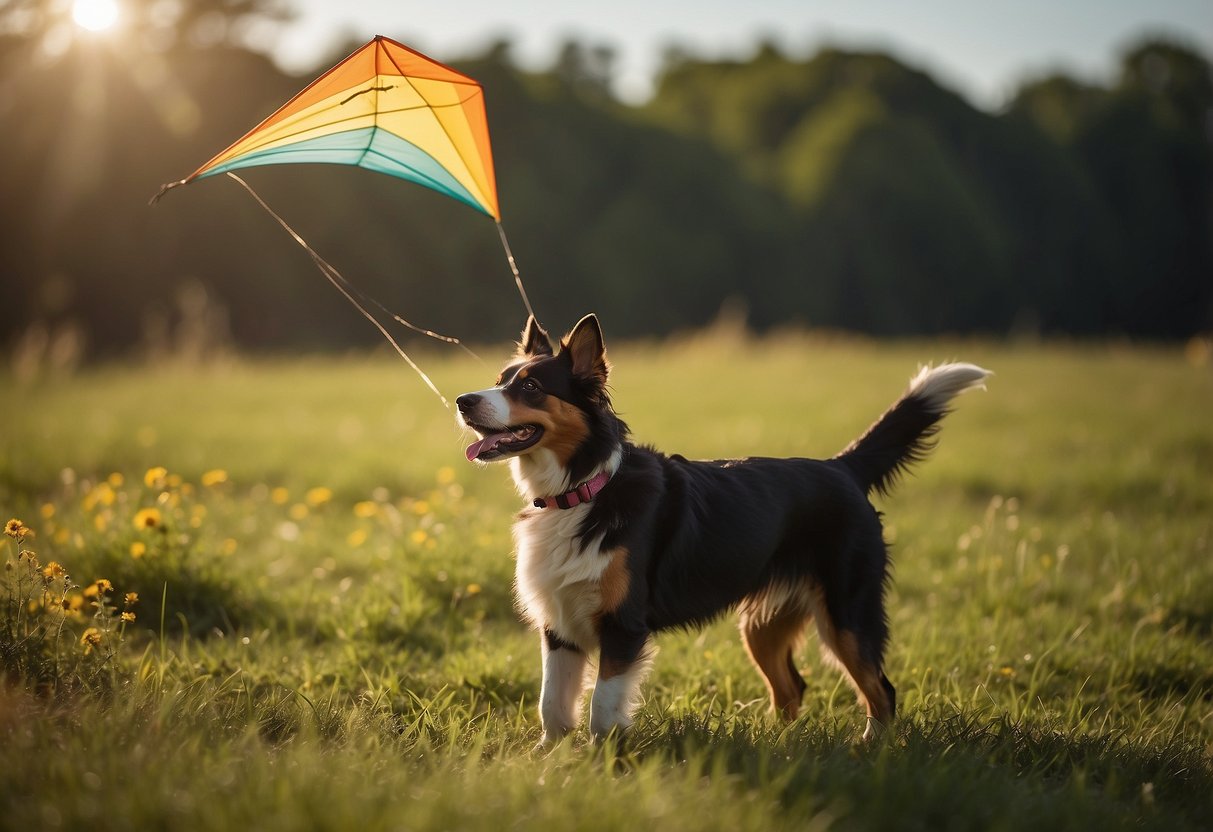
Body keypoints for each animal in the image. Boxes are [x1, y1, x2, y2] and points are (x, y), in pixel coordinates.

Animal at [456, 315, 984, 747]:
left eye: (530, 387)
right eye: (500, 380)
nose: (463, 400)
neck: (583, 489)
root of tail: (841, 468)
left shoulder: (623, 625)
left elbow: (602, 707)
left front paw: (603, 760)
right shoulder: (560, 622)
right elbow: (553, 706)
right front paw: (548, 762)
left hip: (847, 614)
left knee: (882, 691)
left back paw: (870, 749)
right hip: (763, 625)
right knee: (792, 688)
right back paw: (782, 746)